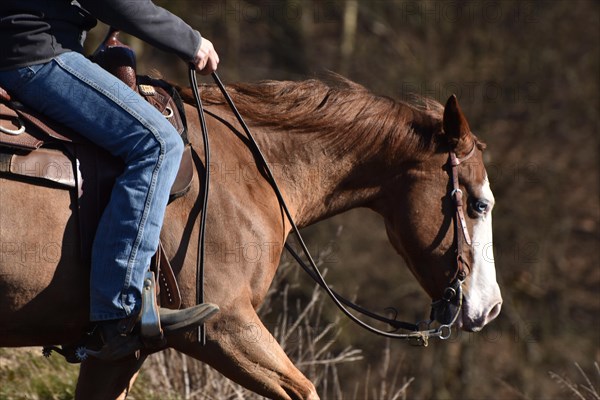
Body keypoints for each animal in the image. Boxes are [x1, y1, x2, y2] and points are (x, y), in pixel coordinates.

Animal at [0, 76, 502, 398]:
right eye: (478, 204)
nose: (491, 307)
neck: (244, 172)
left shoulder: (117, 353)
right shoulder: (225, 326)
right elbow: (302, 390)